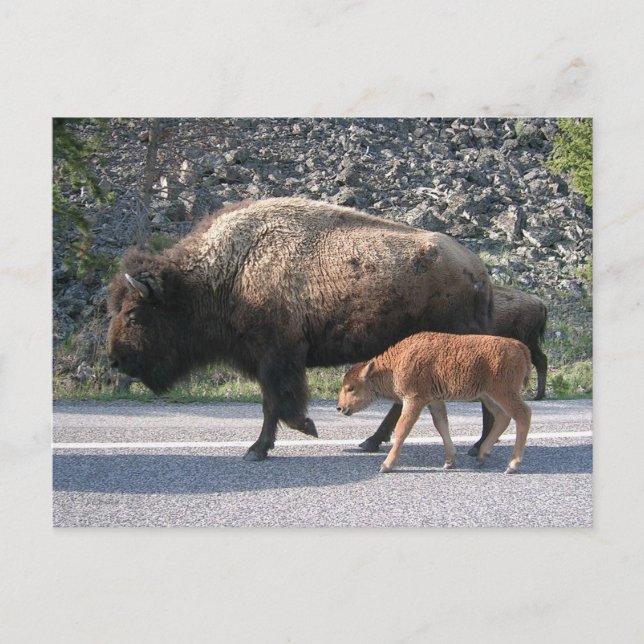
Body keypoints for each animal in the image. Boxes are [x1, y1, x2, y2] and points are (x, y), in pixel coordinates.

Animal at [107, 197, 493, 461]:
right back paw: (371, 442)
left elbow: (277, 404)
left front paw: (282, 438)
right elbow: (272, 404)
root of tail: (477, 269)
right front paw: (265, 445)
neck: (232, 270)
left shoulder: (277, 355)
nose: (115, 359)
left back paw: (474, 448)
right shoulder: (269, 359)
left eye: (134, 315)